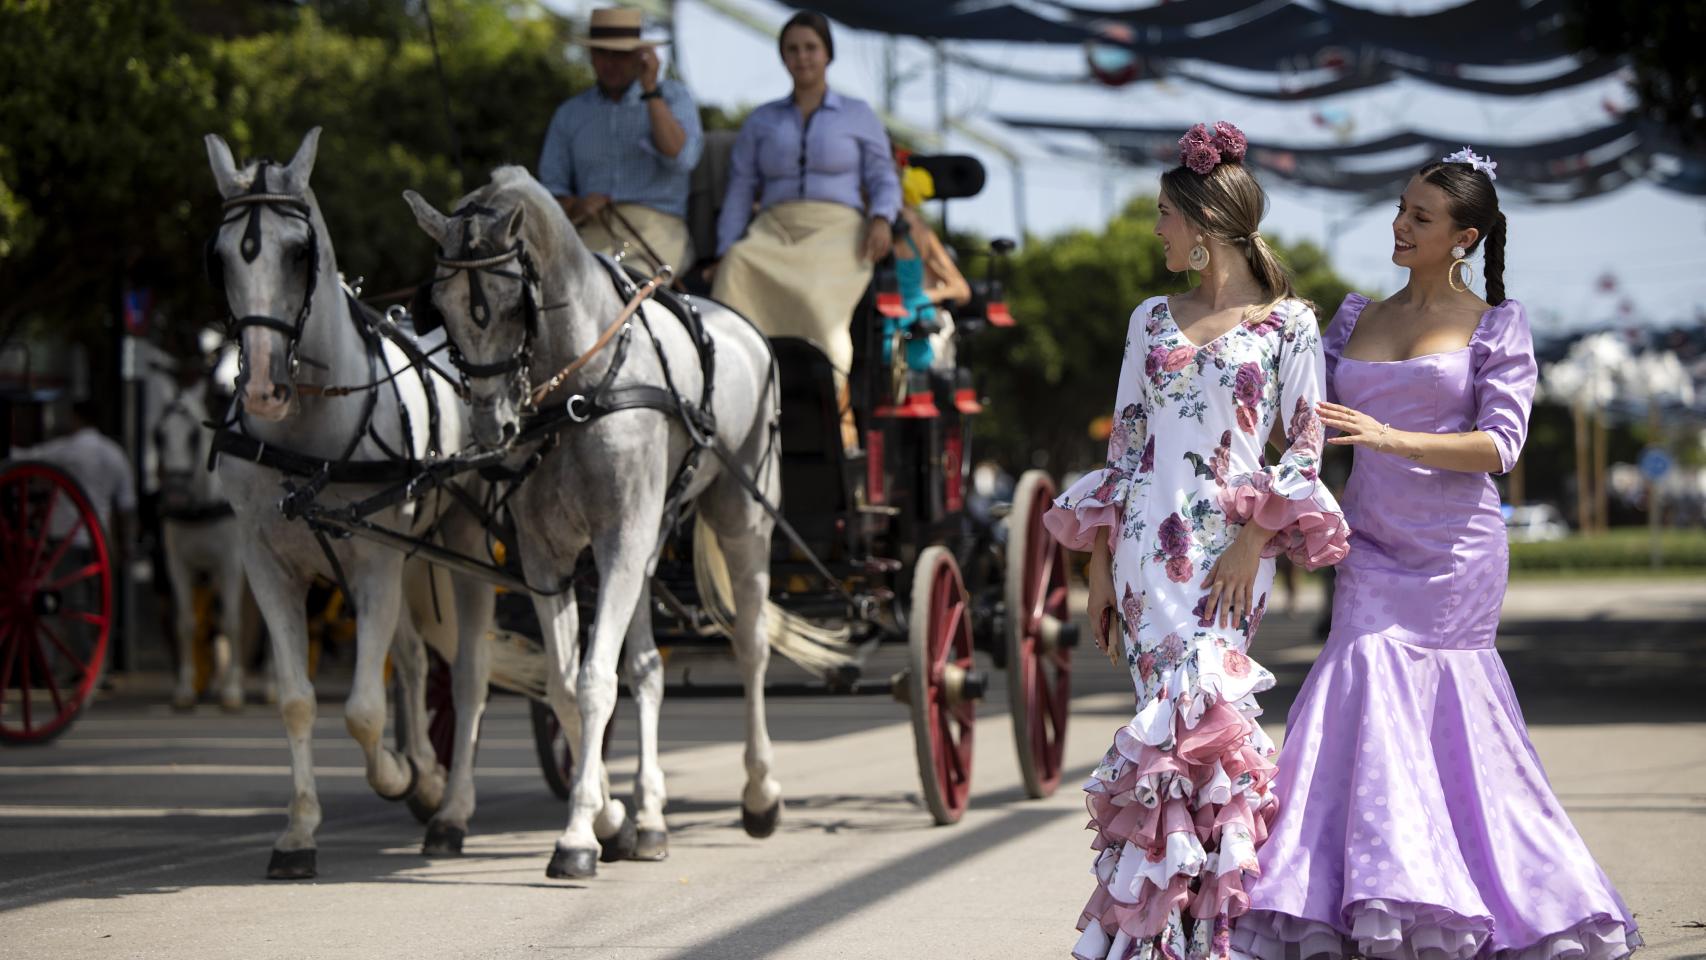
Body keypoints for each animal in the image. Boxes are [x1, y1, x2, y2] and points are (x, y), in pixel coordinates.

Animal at [158, 376, 264, 712]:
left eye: (193, 436)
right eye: (158, 436)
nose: (175, 496)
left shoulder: (229, 565)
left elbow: (231, 622)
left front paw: (232, 691)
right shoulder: (178, 565)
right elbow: (186, 623)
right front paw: (185, 689)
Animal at [203, 127, 501, 879]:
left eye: (298, 253)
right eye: (220, 257)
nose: (263, 389)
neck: (305, 438)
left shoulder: (373, 567)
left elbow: (364, 710)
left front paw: (395, 775)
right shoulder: (269, 567)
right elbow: (297, 701)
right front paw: (300, 833)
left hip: (460, 544)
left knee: (467, 676)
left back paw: (451, 808)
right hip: (403, 561)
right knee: (417, 663)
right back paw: (429, 776)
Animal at [406, 167, 784, 879]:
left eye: (509, 305)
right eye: (439, 306)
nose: (491, 426)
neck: (579, 390)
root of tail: (743, 327)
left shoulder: (618, 543)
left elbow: (594, 683)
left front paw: (579, 835)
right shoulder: (548, 557)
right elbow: (564, 684)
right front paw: (609, 817)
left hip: (740, 520)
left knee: (750, 648)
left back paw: (760, 793)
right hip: (646, 544)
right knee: (648, 668)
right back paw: (650, 818)